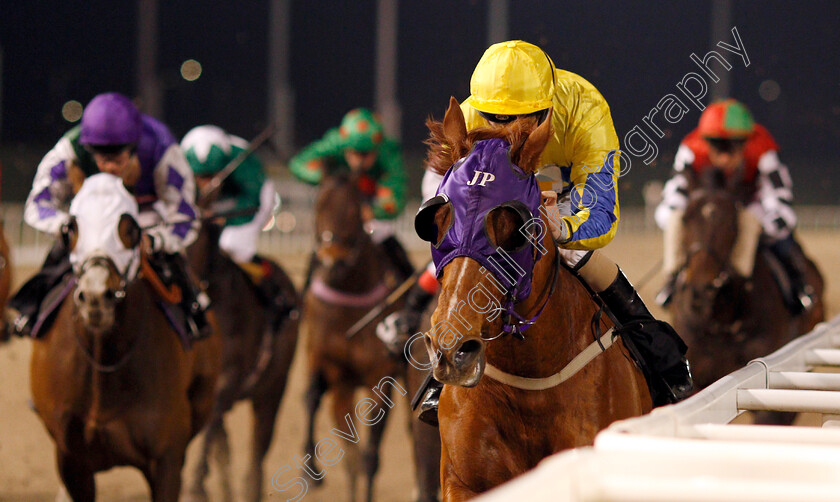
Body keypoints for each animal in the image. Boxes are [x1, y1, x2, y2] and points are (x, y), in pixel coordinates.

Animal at [29, 174, 221, 502]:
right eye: (72, 227)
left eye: (130, 228)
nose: (96, 296)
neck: (105, 364)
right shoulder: (71, 460)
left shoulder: (166, 459)